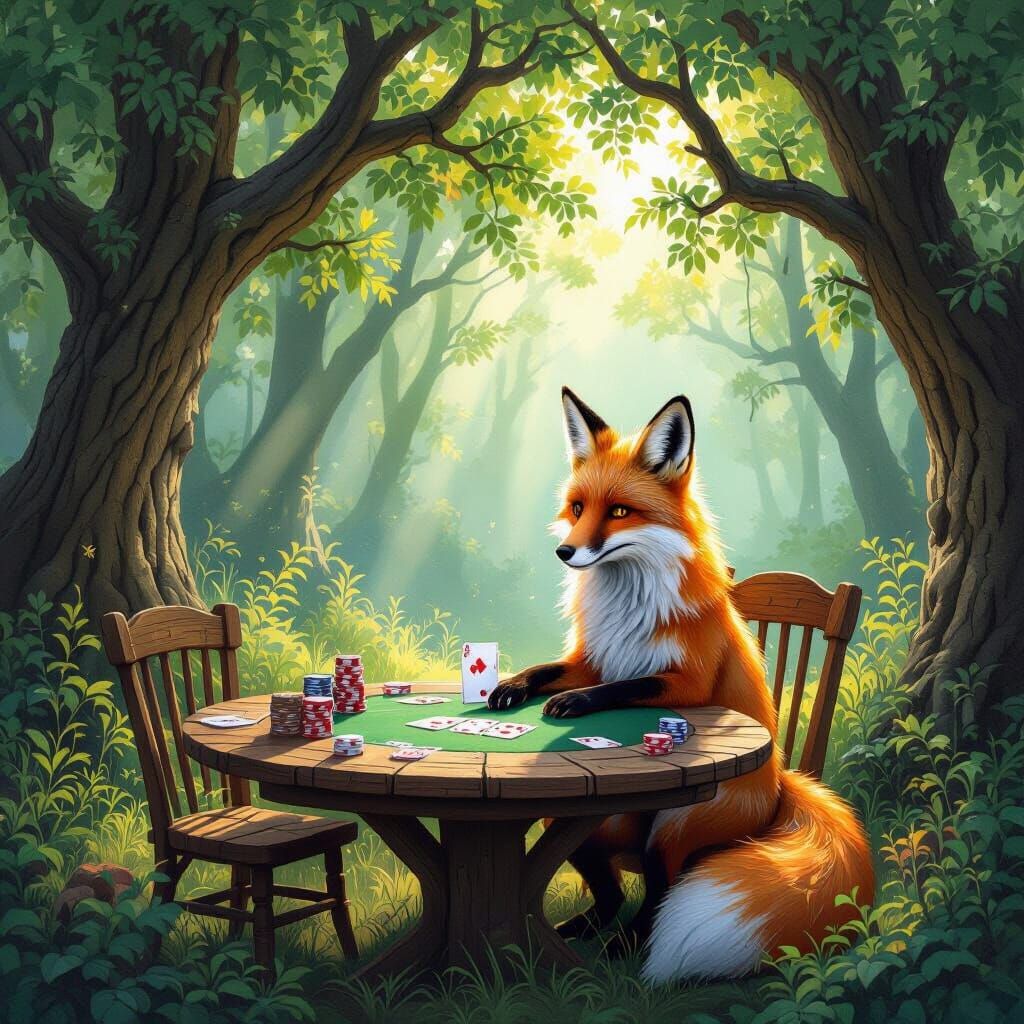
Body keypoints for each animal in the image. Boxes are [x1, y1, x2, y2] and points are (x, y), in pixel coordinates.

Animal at [488, 387, 874, 983]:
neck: (629, 604)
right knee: (609, 889)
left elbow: (624, 687)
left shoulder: (687, 682)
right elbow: (549, 671)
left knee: (658, 890)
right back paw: (587, 928)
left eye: (619, 512)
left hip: (673, 826)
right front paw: (511, 686)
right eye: (578, 508)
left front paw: (572, 702)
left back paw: (630, 949)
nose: (565, 552)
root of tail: (782, 786)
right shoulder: (595, 658)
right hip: (582, 819)